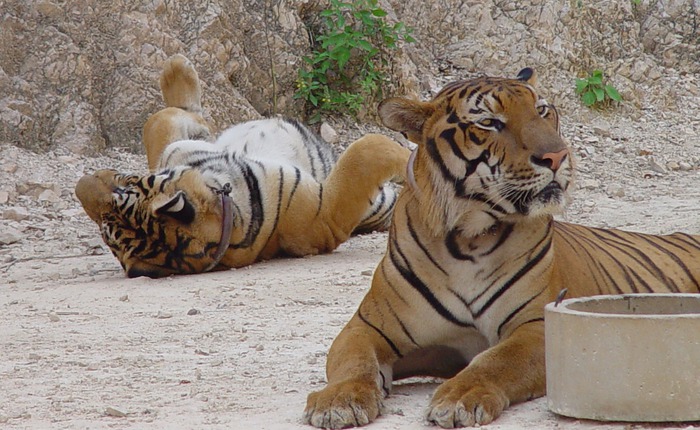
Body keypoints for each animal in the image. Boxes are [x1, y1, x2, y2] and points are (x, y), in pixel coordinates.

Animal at [75, 53, 410, 278]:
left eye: (124, 186)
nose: (79, 184)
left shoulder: (176, 150)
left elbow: (161, 120)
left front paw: (176, 68)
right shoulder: (327, 212)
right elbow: (368, 150)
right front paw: (411, 157)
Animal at [302, 67, 700, 426]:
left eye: (542, 110)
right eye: (490, 122)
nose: (558, 156)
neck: (467, 238)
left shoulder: (535, 324)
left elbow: (496, 361)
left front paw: (460, 397)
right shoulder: (367, 327)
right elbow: (354, 362)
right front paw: (338, 401)